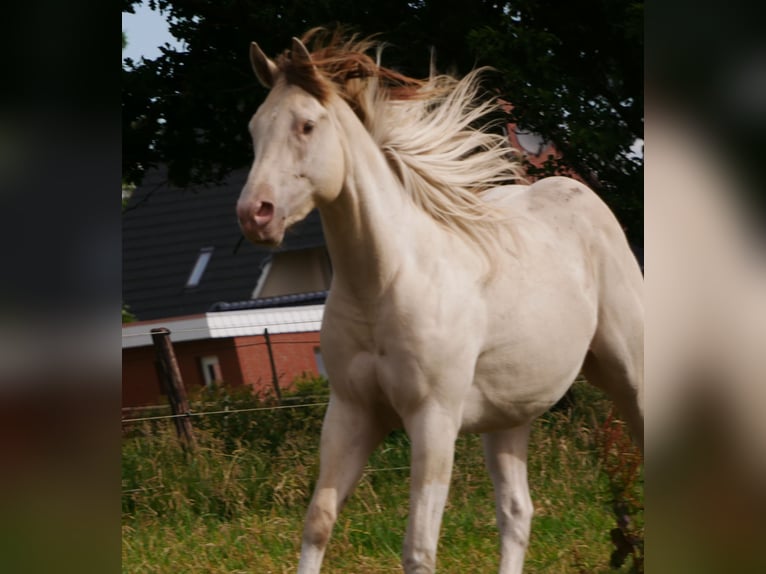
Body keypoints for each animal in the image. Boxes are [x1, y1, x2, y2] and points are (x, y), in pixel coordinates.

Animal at [236, 29, 643, 574]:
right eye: (255, 129)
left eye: (307, 125)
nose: (255, 215)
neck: (384, 283)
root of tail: (581, 196)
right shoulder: (350, 412)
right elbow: (318, 523)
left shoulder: (433, 419)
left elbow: (419, 548)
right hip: (509, 415)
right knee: (517, 512)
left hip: (627, 373)